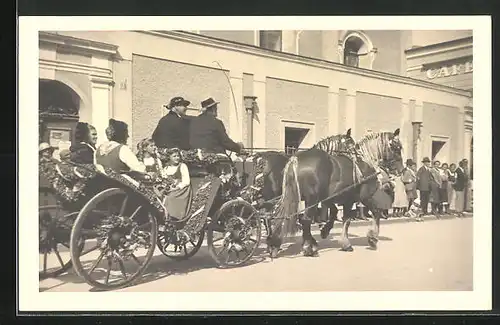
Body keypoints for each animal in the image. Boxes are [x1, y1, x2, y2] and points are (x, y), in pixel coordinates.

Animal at [268, 128, 404, 256]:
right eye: (397, 148)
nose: (401, 170)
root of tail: (295, 159)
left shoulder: (329, 199)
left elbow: (335, 213)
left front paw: (325, 230)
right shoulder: (362, 197)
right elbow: (368, 214)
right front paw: (370, 238)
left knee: (281, 217)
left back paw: (276, 244)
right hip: (311, 199)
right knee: (305, 219)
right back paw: (308, 248)